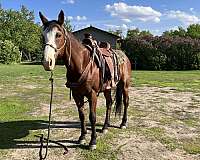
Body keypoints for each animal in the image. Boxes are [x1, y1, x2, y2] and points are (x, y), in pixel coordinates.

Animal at [39, 10, 132, 150]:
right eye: (43, 36)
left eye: (58, 35)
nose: (47, 62)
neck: (82, 63)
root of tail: (124, 55)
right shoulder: (77, 94)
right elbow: (81, 115)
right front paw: (82, 137)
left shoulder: (92, 94)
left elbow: (92, 117)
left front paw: (93, 141)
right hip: (107, 88)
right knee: (109, 103)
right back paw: (105, 127)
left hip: (124, 85)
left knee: (126, 102)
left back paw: (123, 123)